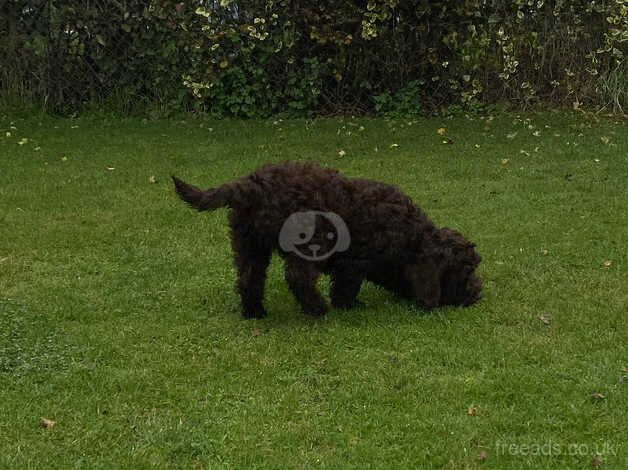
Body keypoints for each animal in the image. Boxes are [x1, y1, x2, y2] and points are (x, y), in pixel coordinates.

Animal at [172, 162, 480, 320]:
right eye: (465, 271)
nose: (478, 295)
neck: (412, 237)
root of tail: (252, 183)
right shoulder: (355, 261)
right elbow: (346, 284)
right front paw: (348, 305)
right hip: (312, 240)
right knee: (298, 277)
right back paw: (317, 309)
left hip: (249, 242)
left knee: (249, 278)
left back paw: (255, 312)